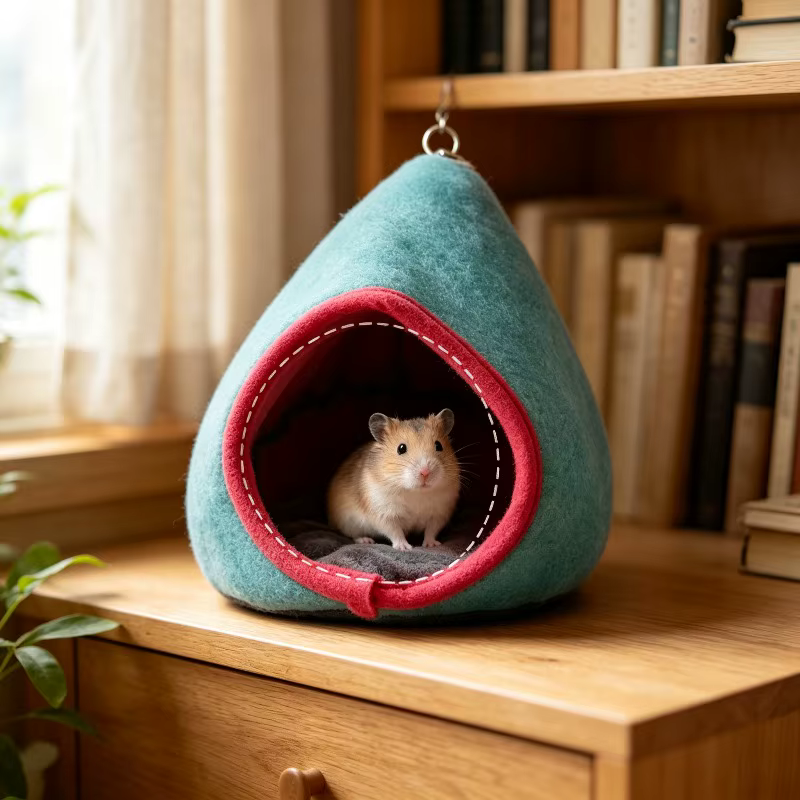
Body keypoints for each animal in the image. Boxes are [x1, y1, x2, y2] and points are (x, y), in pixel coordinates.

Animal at [327, 409, 460, 551]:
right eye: (401, 448)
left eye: (438, 445)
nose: (425, 472)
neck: (416, 492)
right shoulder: (384, 514)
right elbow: (395, 532)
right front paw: (404, 547)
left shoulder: (439, 514)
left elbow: (431, 530)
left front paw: (431, 545)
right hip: (349, 522)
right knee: (354, 534)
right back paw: (366, 540)